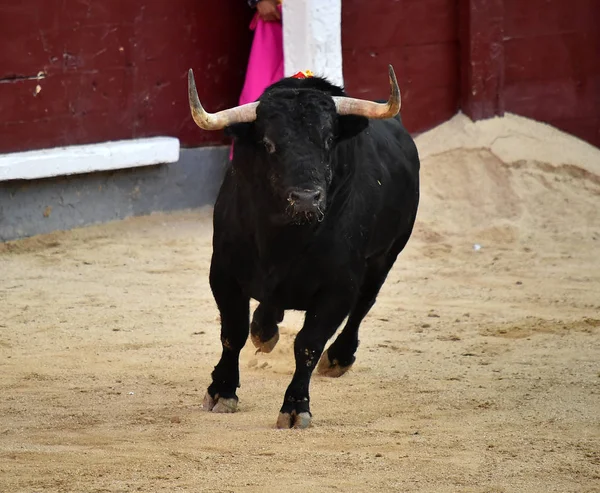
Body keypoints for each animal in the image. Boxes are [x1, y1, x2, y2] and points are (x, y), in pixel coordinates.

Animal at [189, 65, 422, 426]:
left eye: (328, 141)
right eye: (268, 144)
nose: (305, 199)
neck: (283, 237)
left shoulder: (339, 287)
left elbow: (309, 344)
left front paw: (295, 407)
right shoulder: (224, 273)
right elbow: (233, 331)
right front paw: (221, 391)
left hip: (386, 256)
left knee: (363, 305)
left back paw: (339, 357)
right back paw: (265, 330)